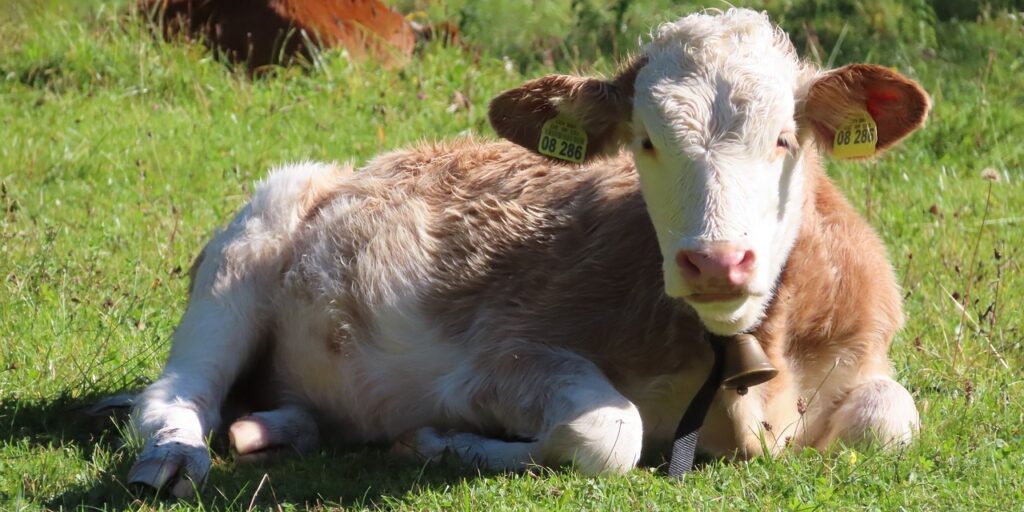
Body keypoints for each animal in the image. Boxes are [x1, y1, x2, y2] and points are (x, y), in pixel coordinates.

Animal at [127, 8, 929, 498]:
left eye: (785, 138)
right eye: (645, 142)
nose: (717, 262)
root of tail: (358, 166)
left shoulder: (864, 353)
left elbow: (892, 419)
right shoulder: (500, 356)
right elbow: (609, 432)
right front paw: (436, 441)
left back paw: (274, 430)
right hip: (251, 237)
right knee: (177, 393)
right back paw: (174, 459)